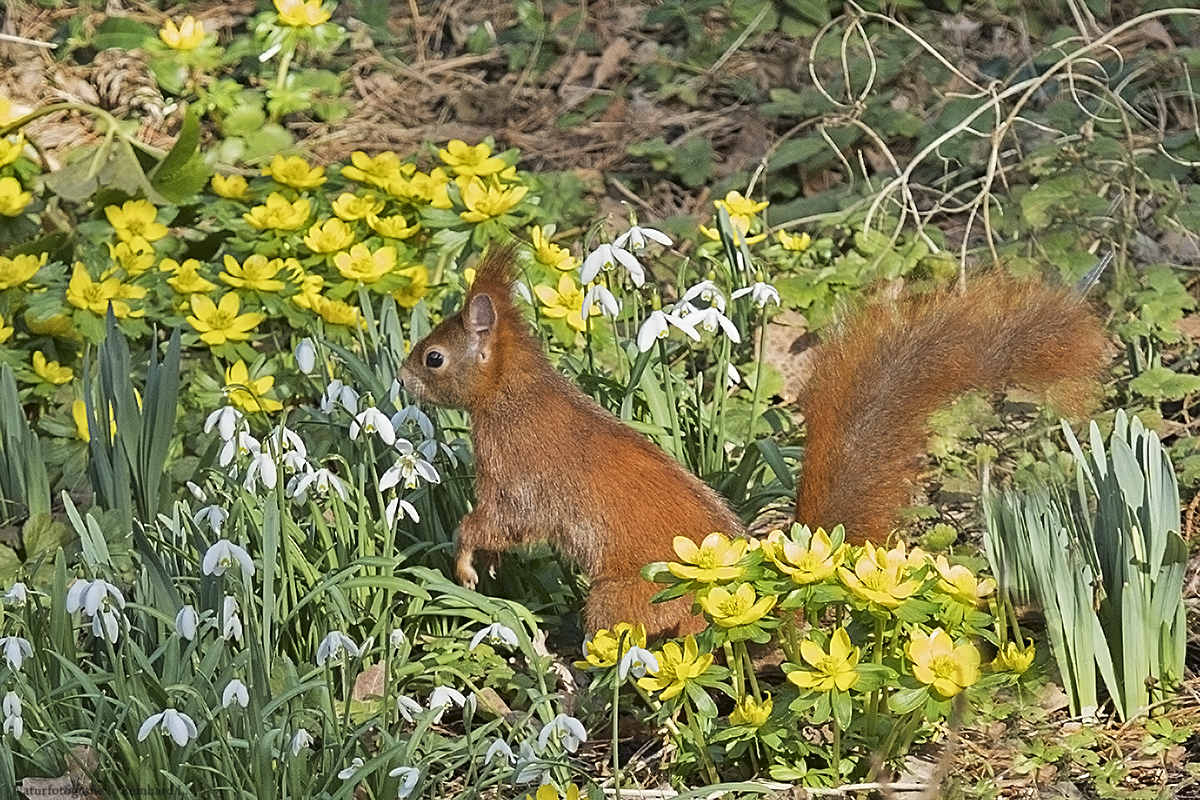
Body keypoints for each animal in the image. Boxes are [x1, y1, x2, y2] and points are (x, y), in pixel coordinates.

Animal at [398, 244, 1108, 638]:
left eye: (434, 358)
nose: (402, 377)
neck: (511, 396)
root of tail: (765, 601)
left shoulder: (517, 473)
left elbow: (496, 520)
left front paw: (466, 559)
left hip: (624, 598)